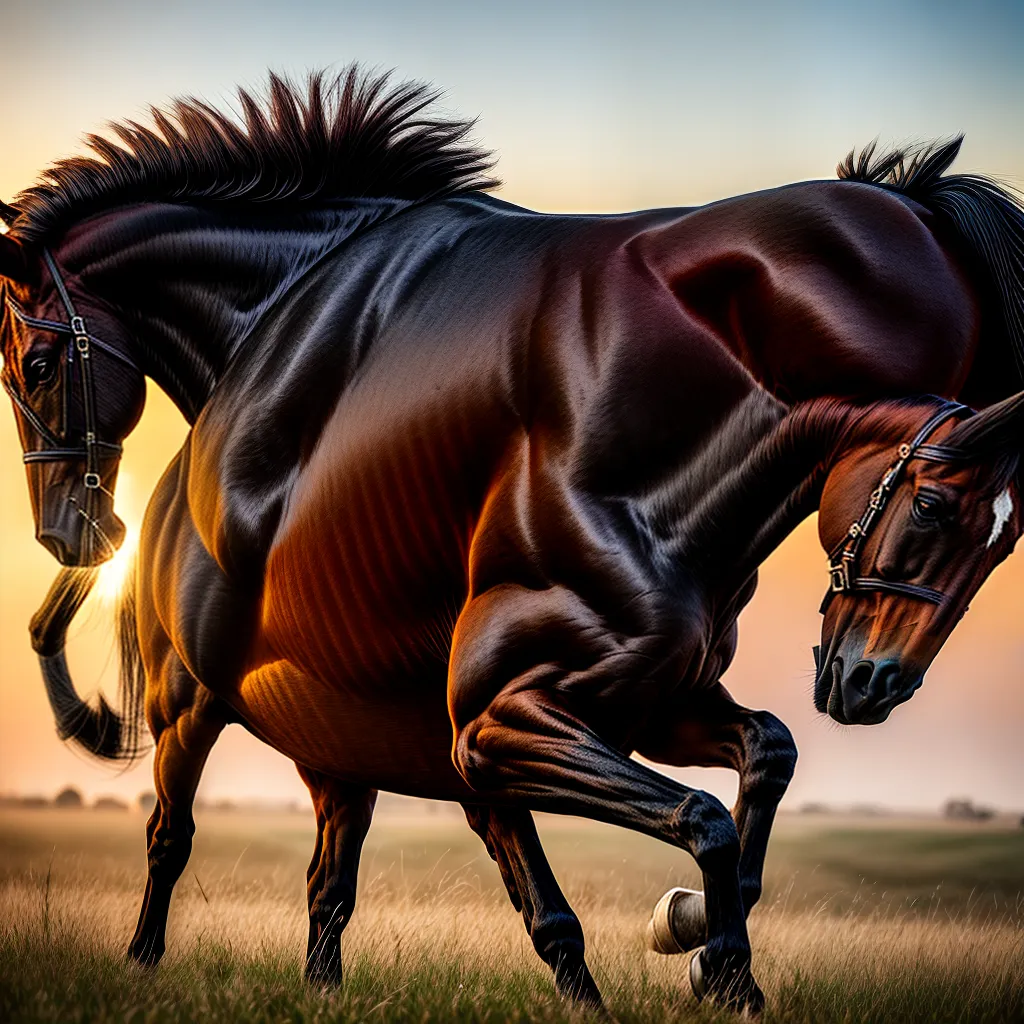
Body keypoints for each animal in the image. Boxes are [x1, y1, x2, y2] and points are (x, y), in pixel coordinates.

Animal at [1, 68, 1022, 1012]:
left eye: (33, 364)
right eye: (933, 510)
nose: (71, 531)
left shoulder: (626, 708)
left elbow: (756, 760)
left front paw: (702, 941)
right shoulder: (501, 724)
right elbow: (697, 818)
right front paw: (715, 956)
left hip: (293, 738)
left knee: (314, 875)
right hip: (199, 710)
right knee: (177, 840)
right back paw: (146, 965)